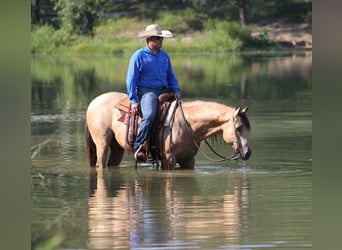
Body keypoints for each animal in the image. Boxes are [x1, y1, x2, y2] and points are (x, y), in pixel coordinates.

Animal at [85, 92, 251, 170]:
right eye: (238, 128)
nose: (248, 153)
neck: (187, 124)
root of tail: (93, 102)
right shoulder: (168, 158)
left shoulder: (188, 160)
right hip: (102, 143)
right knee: (100, 162)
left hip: (117, 147)